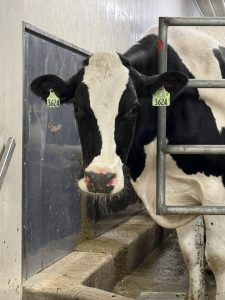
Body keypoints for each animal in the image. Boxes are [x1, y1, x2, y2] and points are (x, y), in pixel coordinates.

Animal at [30, 26, 225, 300]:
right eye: (77, 107)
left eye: (133, 108)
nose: (100, 178)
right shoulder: (180, 192)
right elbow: (191, 252)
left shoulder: (216, 190)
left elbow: (218, 258)